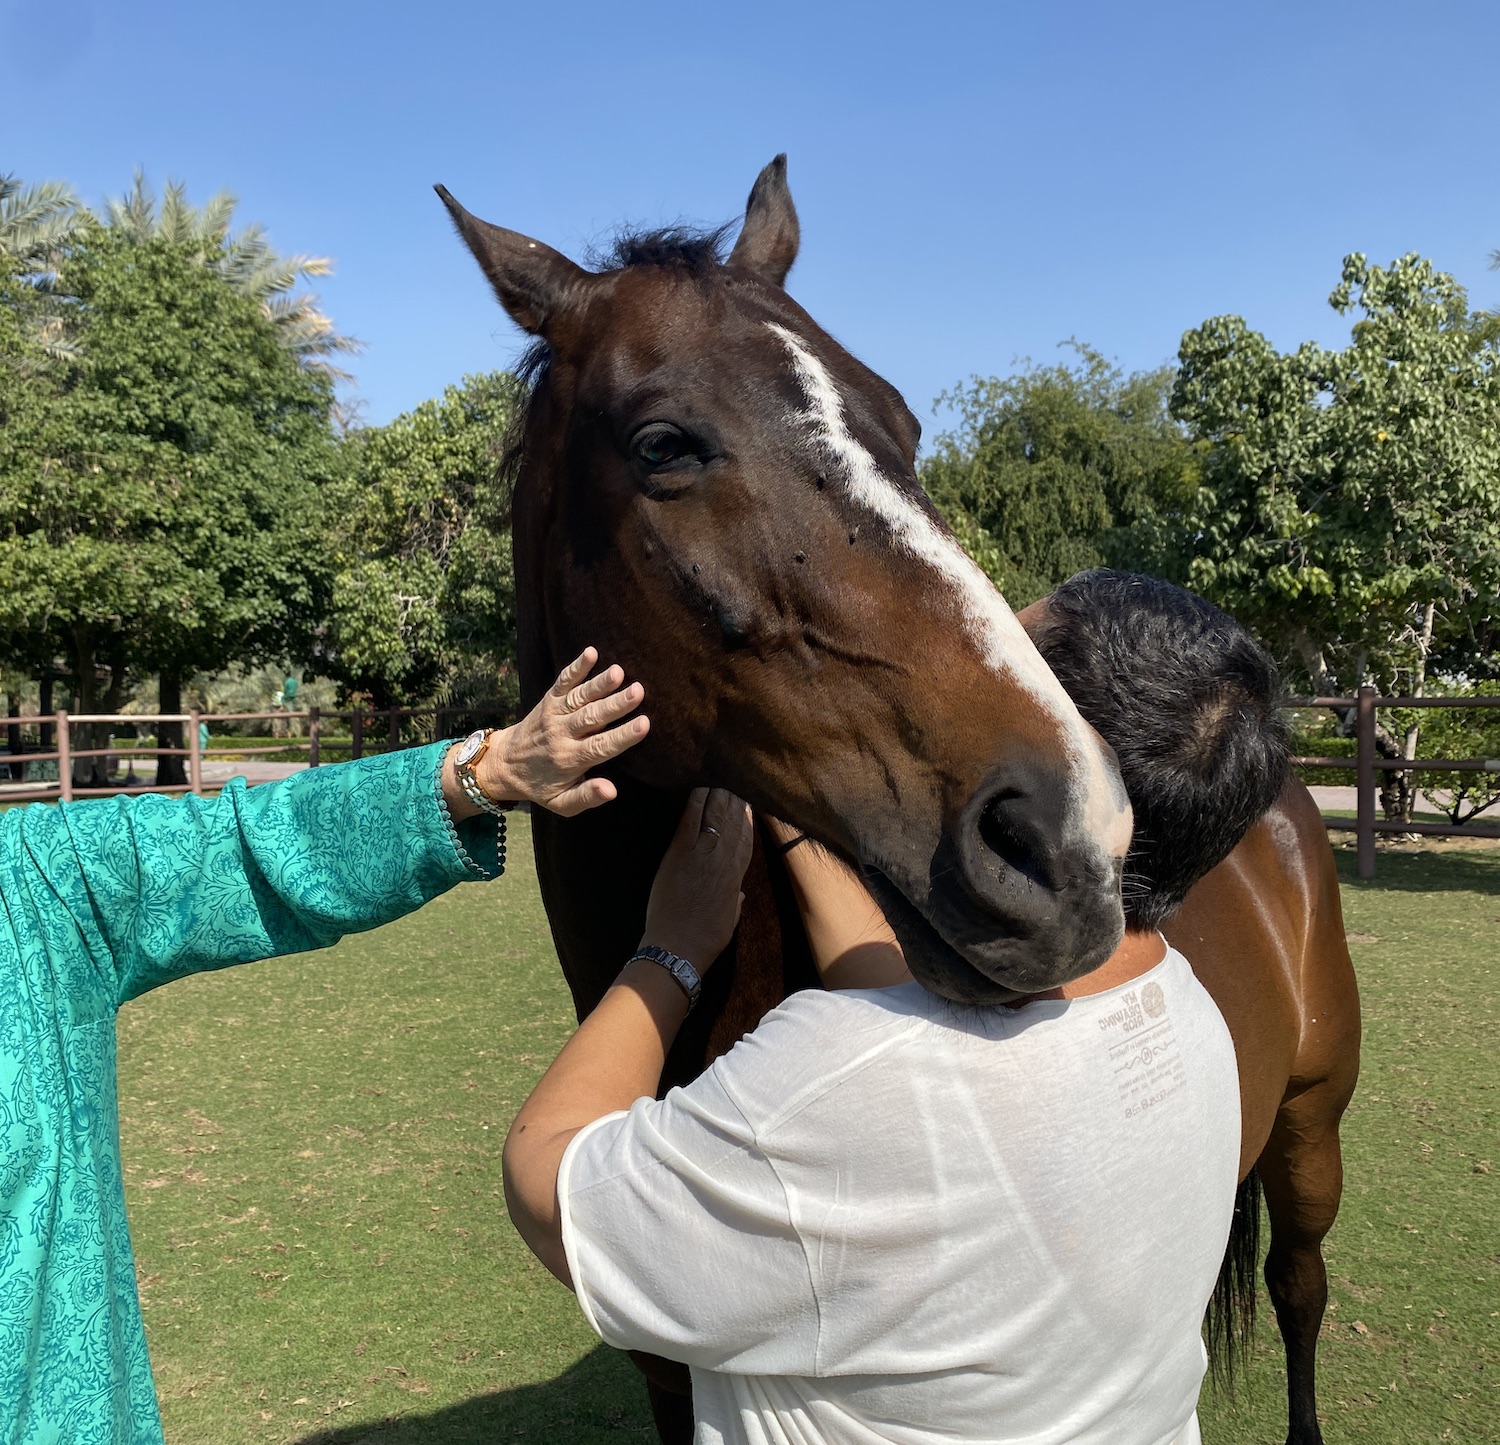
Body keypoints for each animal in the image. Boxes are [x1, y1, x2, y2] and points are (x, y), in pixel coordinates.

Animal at [435, 158, 1362, 1445]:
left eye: (906, 424)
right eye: (664, 443)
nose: (1067, 836)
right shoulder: (666, 1380)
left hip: (1312, 1128)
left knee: (1299, 1283)